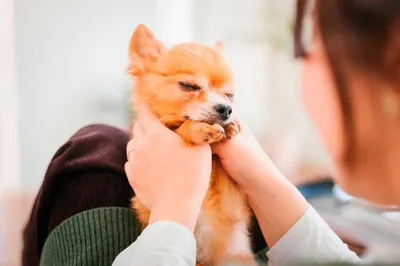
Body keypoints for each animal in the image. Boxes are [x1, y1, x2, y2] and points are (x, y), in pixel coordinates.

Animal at [126, 23, 255, 264]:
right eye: (188, 85)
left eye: (229, 95)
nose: (226, 109)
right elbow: (181, 128)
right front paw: (199, 130)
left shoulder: (233, 203)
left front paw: (231, 125)